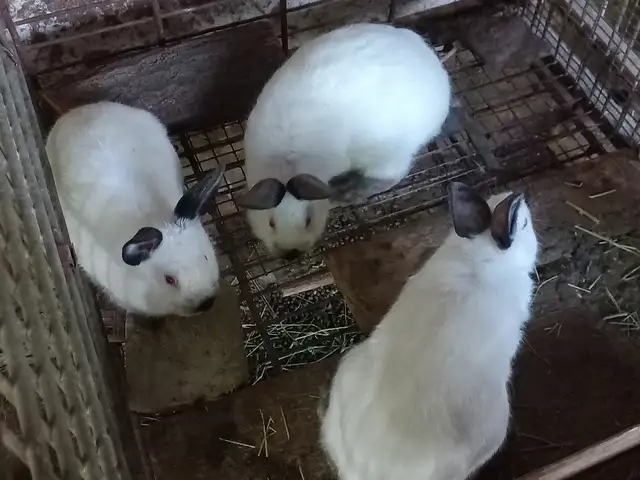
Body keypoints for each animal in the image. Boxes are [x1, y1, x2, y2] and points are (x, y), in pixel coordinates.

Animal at [238, 23, 452, 259]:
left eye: (309, 220)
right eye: (270, 223)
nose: (291, 253)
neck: (287, 160)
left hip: (389, 155)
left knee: (389, 177)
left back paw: (348, 192)